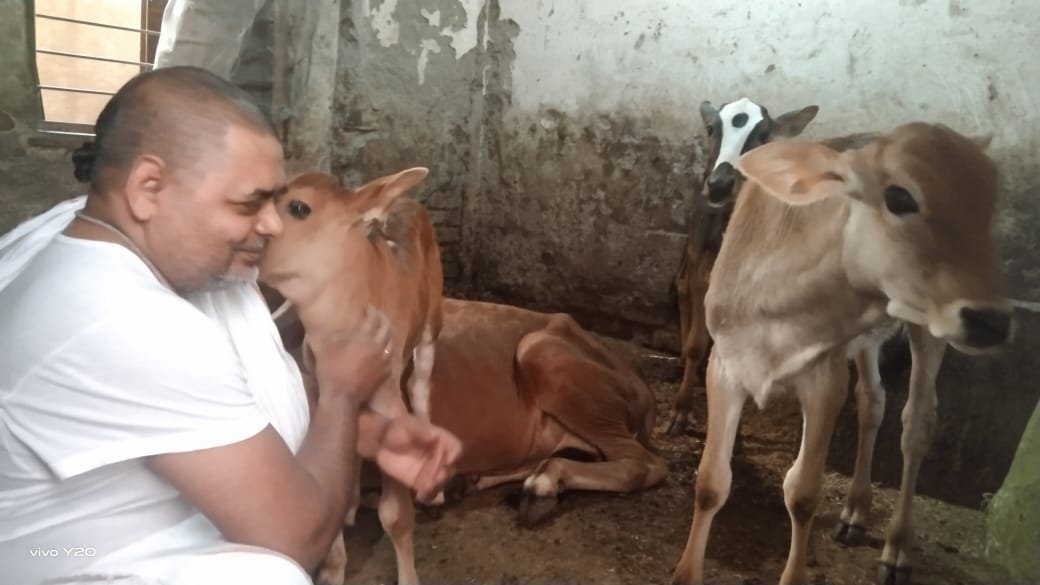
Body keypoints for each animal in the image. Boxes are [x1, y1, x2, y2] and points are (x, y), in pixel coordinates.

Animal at [259, 167, 444, 585]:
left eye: (298, 207)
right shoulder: (320, 401)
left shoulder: (389, 402)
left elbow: (395, 515)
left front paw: (409, 577)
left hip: (432, 323)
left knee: (422, 389)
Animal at [667, 97, 820, 435]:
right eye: (712, 128)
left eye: (763, 135)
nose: (720, 185)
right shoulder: (701, 262)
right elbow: (696, 343)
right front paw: (680, 411)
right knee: (681, 283)